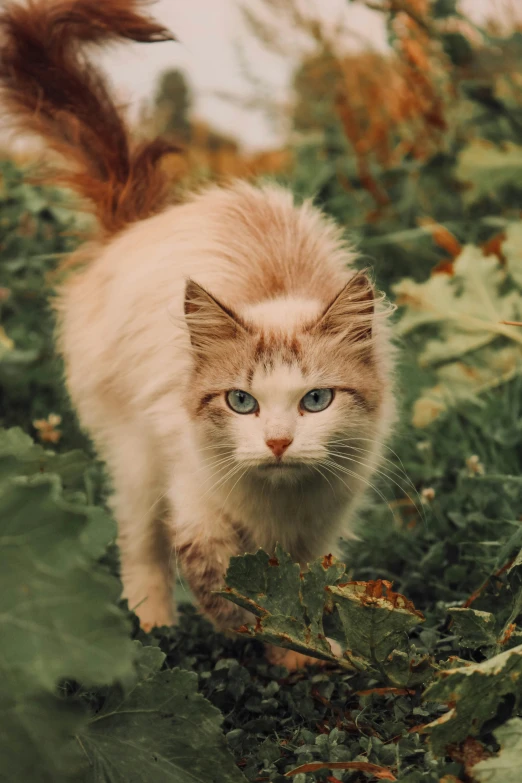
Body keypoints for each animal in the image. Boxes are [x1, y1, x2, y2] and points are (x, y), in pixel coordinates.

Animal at [0, 0, 394, 664]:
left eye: (316, 401)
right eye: (241, 402)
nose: (279, 442)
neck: (276, 509)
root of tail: (142, 222)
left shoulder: (317, 532)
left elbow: (302, 597)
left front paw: (299, 661)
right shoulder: (193, 498)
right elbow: (222, 580)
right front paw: (253, 636)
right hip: (134, 459)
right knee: (139, 550)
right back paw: (152, 633)